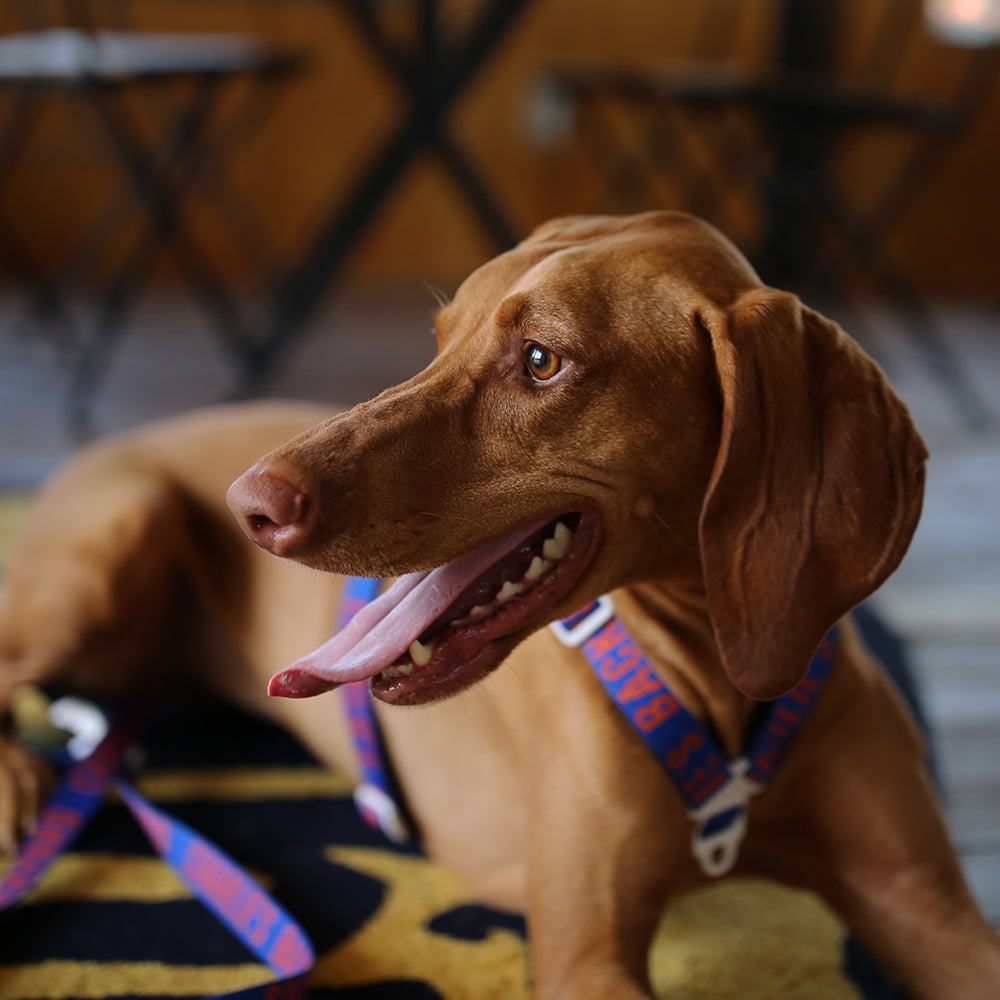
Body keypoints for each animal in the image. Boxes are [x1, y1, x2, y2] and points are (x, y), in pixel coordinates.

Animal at [1, 209, 1000, 992]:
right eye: (440, 339)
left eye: (542, 360)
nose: (248, 505)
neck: (717, 681)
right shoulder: (585, 957)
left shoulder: (925, 906)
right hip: (108, 548)